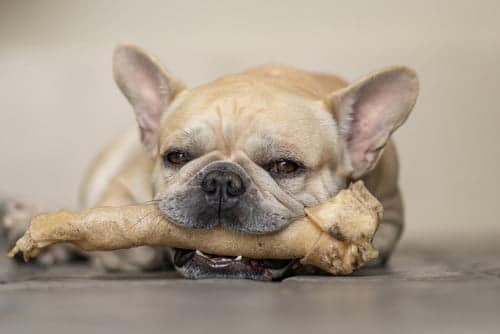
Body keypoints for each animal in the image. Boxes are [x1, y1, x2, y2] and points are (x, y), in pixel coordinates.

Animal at [0, 43, 418, 280]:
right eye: (176, 157)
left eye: (285, 166)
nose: (220, 180)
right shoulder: (120, 186)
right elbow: (126, 238)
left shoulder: (389, 216)